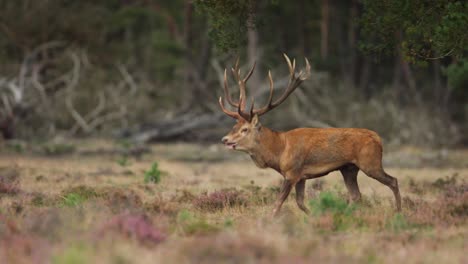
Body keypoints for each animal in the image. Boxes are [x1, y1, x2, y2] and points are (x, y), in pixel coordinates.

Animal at [219, 54, 402, 217]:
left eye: (245, 129)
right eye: (234, 126)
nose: (224, 139)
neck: (279, 152)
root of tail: (378, 138)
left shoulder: (292, 172)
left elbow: (278, 204)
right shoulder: (301, 177)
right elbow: (300, 202)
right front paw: (314, 215)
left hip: (370, 162)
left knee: (393, 180)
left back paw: (398, 211)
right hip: (348, 168)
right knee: (356, 195)